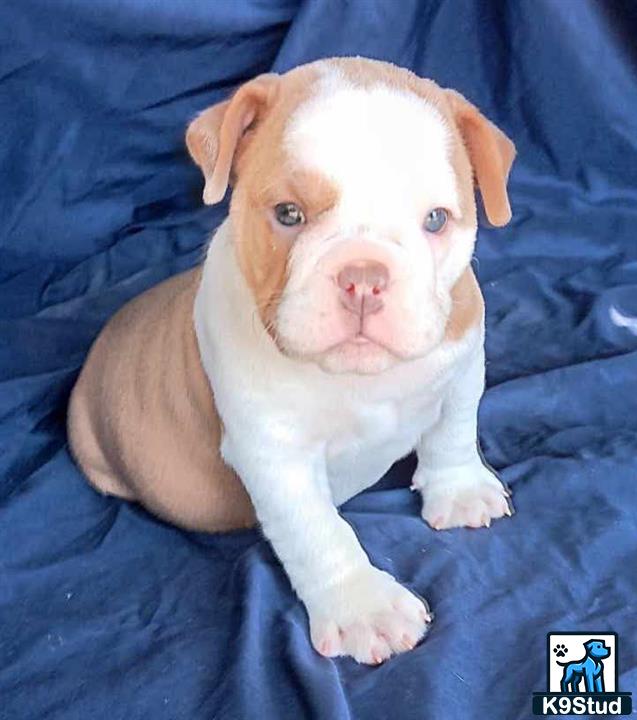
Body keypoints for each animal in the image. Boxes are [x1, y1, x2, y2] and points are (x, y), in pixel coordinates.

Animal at [68, 56, 516, 664]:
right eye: (288, 213)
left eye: (436, 220)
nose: (364, 277)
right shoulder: (274, 455)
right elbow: (320, 534)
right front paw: (365, 609)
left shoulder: (463, 366)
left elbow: (453, 430)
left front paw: (461, 489)